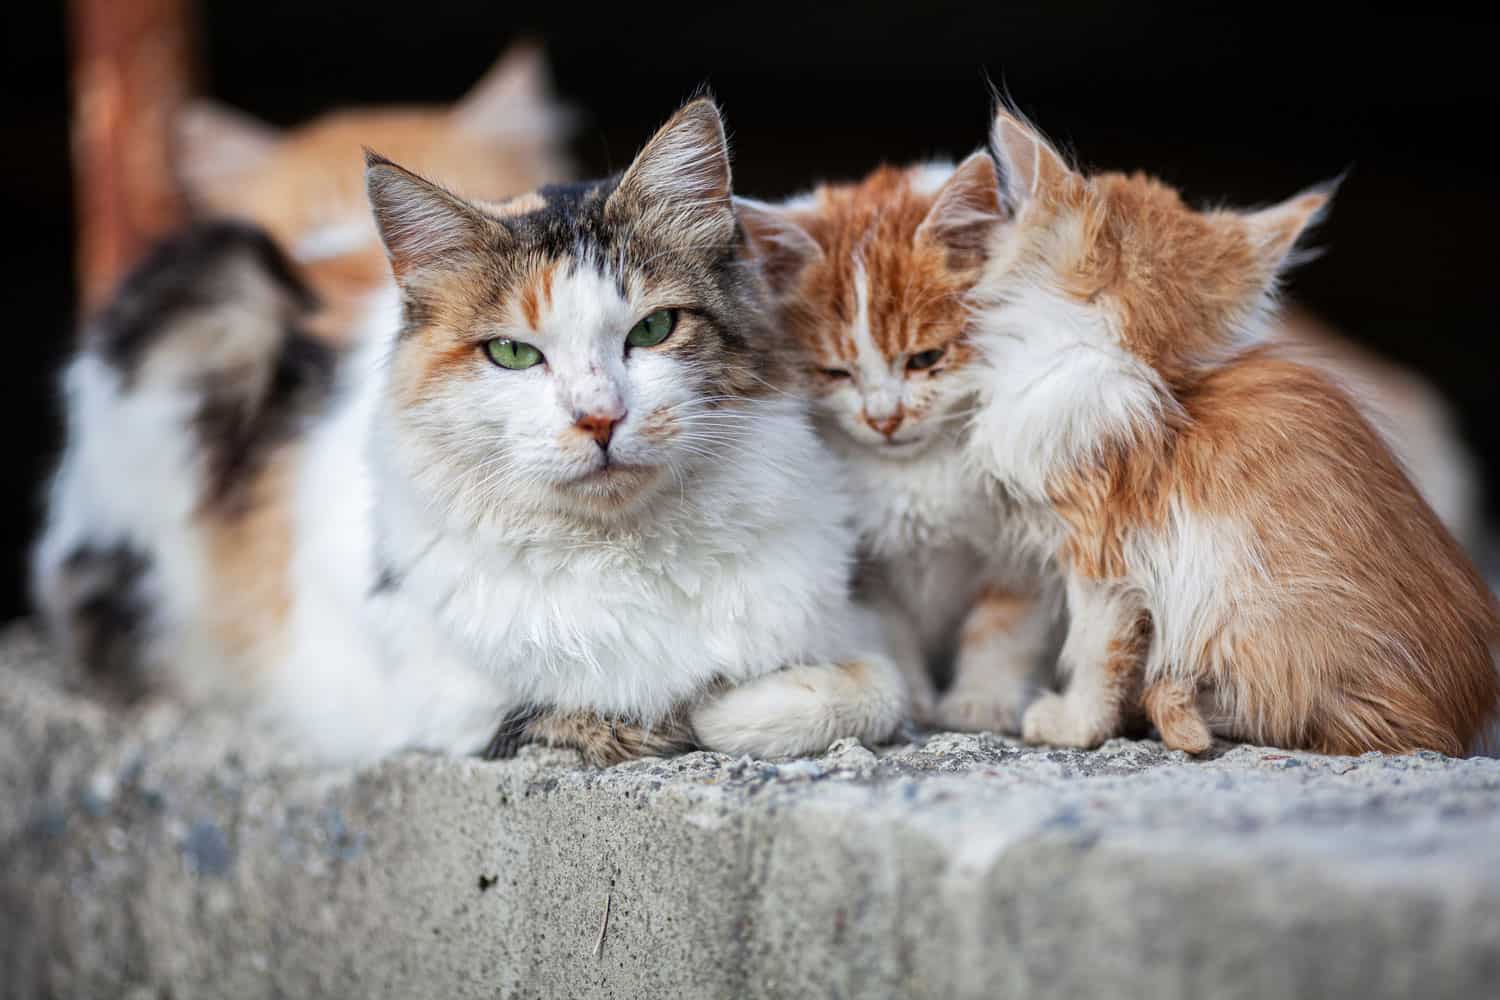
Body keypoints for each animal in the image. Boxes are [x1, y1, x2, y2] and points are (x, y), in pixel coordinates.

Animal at [32, 99, 900, 758]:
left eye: (652, 331)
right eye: (513, 353)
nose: (600, 417)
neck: (627, 554)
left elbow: (872, 688)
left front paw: (757, 701)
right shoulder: (438, 701)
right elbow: (609, 713)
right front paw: (714, 709)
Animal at [966, 109, 1494, 755]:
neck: (1129, 360)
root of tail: (1461, 718)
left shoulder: (1103, 554)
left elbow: (1098, 650)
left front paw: (1075, 724)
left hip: (1250, 621)